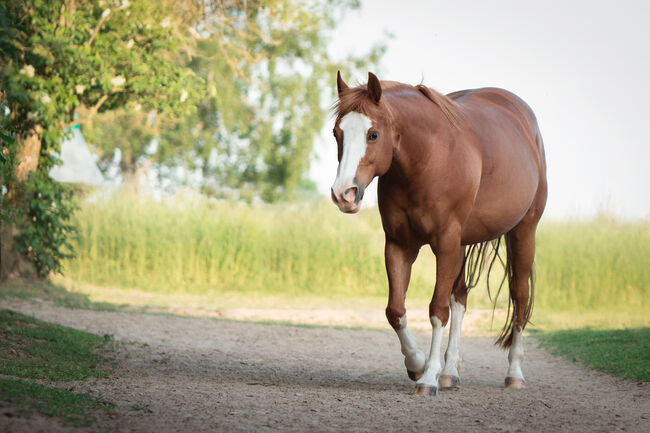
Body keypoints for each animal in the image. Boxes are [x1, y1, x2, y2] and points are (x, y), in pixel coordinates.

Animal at [330, 71, 548, 394]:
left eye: (373, 134)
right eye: (337, 133)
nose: (343, 194)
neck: (427, 160)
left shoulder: (444, 244)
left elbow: (436, 311)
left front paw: (428, 377)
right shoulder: (399, 245)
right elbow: (396, 310)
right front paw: (417, 364)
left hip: (522, 233)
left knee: (519, 297)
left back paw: (514, 373)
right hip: (462, 245)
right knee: (460, 299)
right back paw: (450, 372)